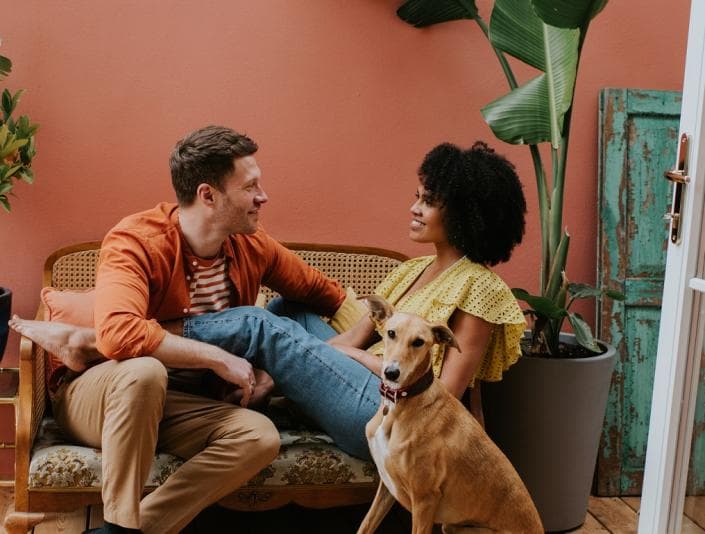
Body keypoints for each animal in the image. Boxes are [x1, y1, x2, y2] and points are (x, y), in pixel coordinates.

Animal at [354, 298, 540, 534]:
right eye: (391, 333)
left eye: (419, 342)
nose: (391, 373)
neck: (400, 404)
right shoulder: (387, 487)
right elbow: (366, 525)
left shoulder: (425, 499)